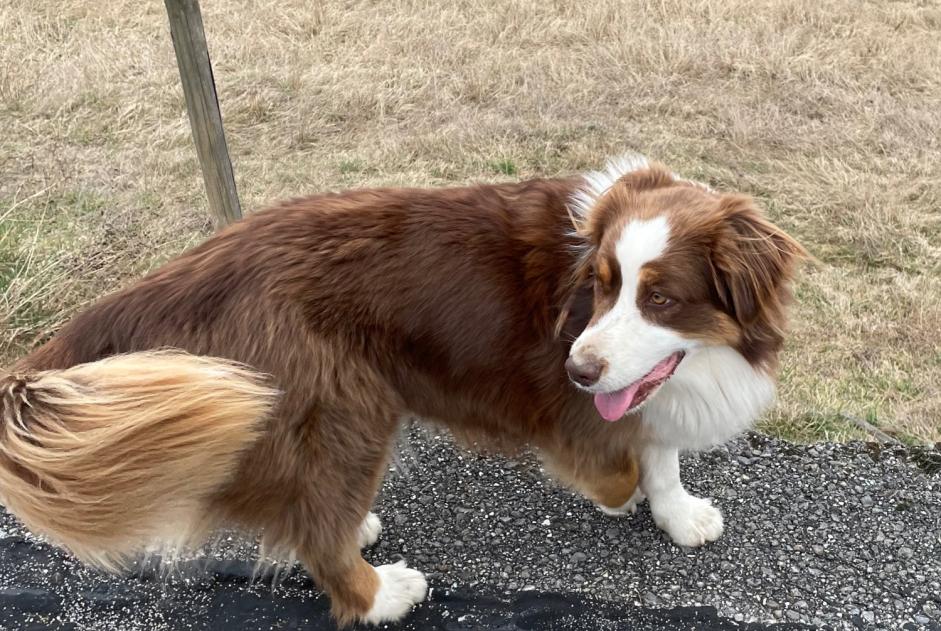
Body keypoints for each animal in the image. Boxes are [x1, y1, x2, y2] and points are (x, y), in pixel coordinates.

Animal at [1, 157, 800, 628]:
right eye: (600, 286)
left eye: (659, 298)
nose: (577, 368)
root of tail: (197, 266)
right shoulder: (573, 409)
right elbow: (623, 462)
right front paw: (619, 494)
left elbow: (659, 452)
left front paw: (677, 512)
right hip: (347, 403)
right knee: (319, 533)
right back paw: (380, 591)